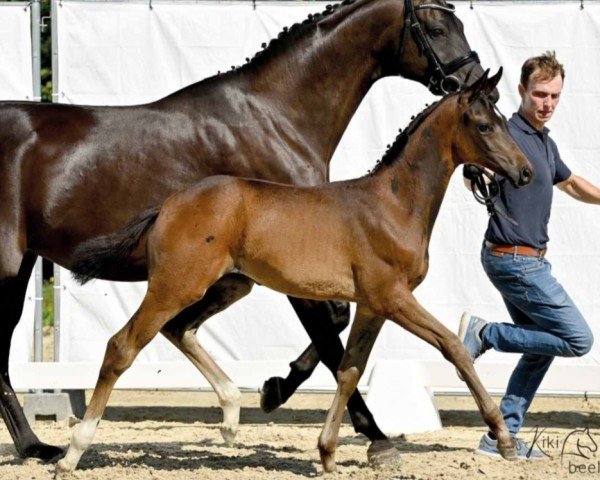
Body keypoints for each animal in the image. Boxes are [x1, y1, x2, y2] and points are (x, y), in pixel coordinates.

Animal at [0, 0, 482, 462]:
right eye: (437, 29)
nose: (476, 82)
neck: (275, 118)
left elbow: (336, 331)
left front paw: (273, 391)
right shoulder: (298, 269)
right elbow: (332, 341)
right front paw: (368, 433)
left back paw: (36, 446)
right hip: (10, 267)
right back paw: (38, 446)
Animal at [64, 68, 536, 476]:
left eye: (503, 121)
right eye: (485, 126)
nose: (525, 172)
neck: (394, 204)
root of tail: (170, 203)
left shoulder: (371, 306)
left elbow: (348, 369)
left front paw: (327, 452)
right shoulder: (393, 297)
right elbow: (453, 348)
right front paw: (503, 439)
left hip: (228, 285)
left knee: (178, 330)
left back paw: (231, 417)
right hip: (175, 287)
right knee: (122, 346)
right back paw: (71, 453)